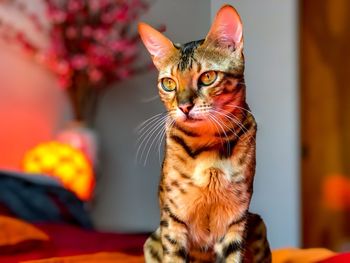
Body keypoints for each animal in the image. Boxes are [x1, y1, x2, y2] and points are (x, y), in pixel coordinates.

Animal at [138, 4, 272, 263]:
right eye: (168, 83)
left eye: (208, 77)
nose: (184, 106)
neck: (208, 146)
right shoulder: (173, 218)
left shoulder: (236, 218)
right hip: (153, 239)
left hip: (257, 224)